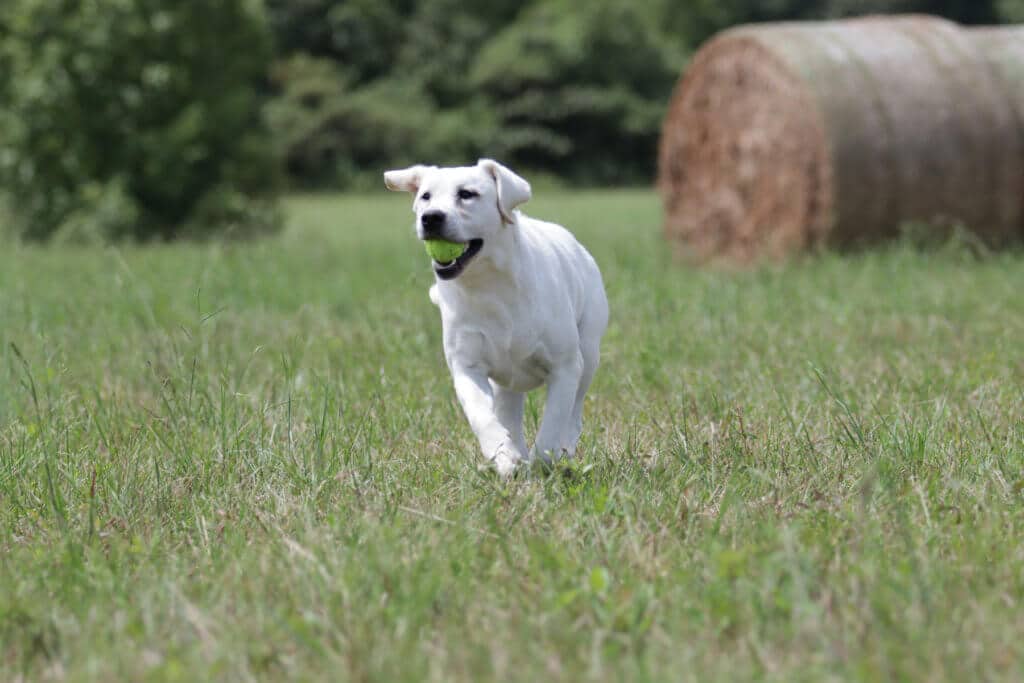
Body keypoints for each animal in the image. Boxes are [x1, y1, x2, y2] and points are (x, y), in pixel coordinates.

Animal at [385, 160, 606, 479]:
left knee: (573, 414)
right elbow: (482, 415)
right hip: (508, 379)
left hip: (588, 353)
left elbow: (554, 421)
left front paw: (544, 459)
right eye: (425, 196)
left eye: (467, 194)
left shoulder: (565, 366)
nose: (431, 217)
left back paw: (563, 450)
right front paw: (504, 455)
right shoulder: (466, 366)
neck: (489, 285)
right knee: (508, 412)